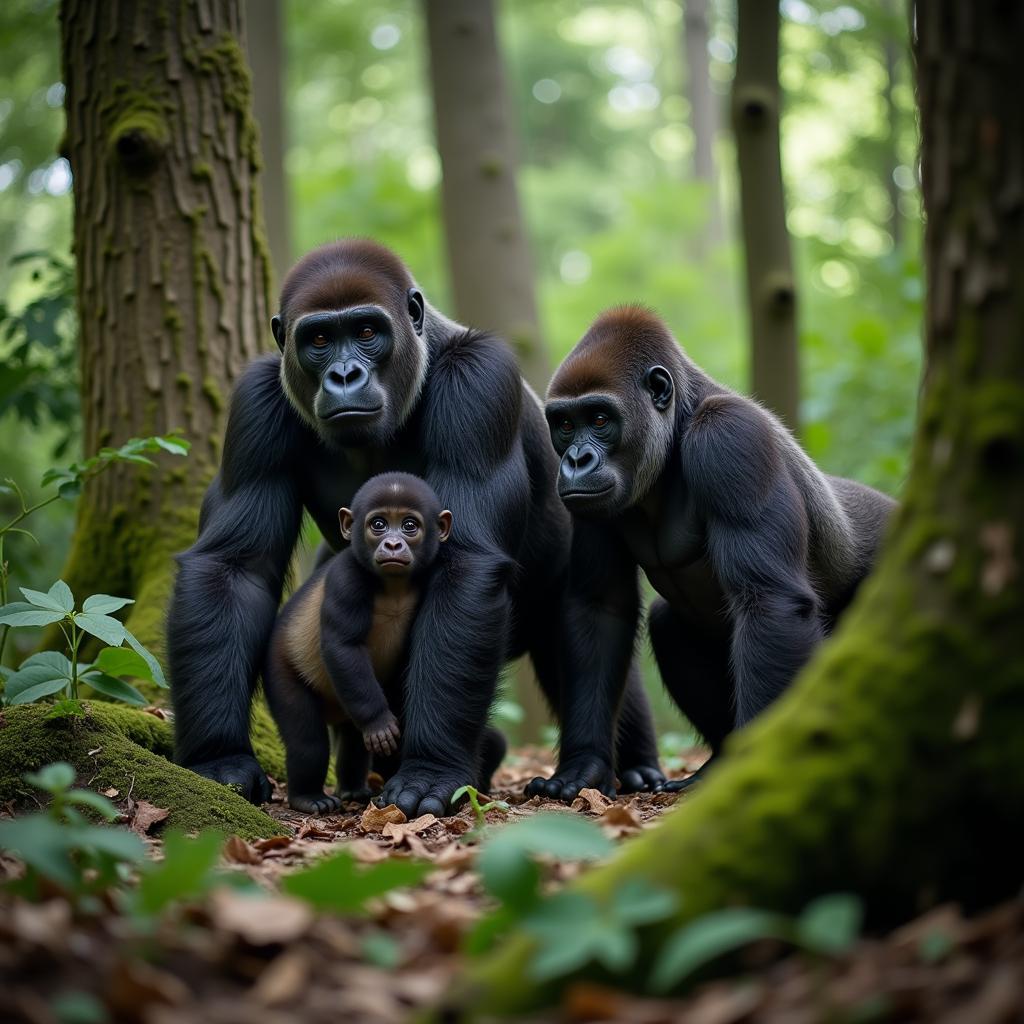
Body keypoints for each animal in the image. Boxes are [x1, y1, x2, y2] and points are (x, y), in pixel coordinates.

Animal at [264, 473, 452, 815]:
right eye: (378, 524)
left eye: (409, 525)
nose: (393, 544)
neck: (393, 586)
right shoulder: (346, 576)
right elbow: (343, 645)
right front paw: (379, 722)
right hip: (279, 667)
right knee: (308, 742)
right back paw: (307, 797)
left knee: (353, 743)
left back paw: (353, 788)